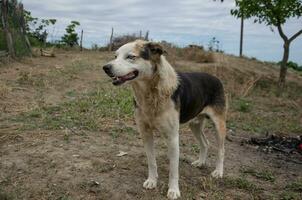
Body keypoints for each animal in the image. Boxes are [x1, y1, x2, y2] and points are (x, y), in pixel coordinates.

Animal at [103, 39, 226, 199]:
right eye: (115, 56)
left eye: (130, 57)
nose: (105, 67)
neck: (152, 93)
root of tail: (216, 78)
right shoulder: (145, 133)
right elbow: (151, 161)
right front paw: (152, 181)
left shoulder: (172, 137)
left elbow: (174, 169)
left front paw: (173, 190)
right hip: (195, 124)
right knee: (205, 143)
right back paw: (200, 162)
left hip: (219, 124)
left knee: (221, 150)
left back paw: (218, 172)